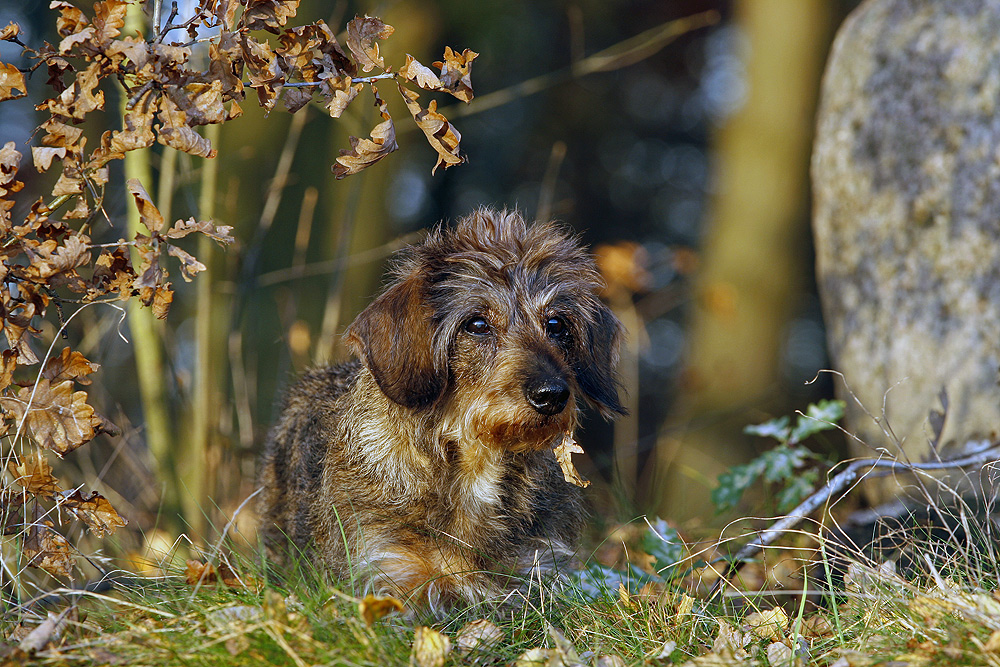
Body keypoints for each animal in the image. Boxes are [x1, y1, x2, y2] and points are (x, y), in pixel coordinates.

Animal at [258, 209, 620, 612]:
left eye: (556, 324)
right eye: (477, 324)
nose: (552, 395)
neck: (477, 471)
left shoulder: (536, 570)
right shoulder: (387, 571)